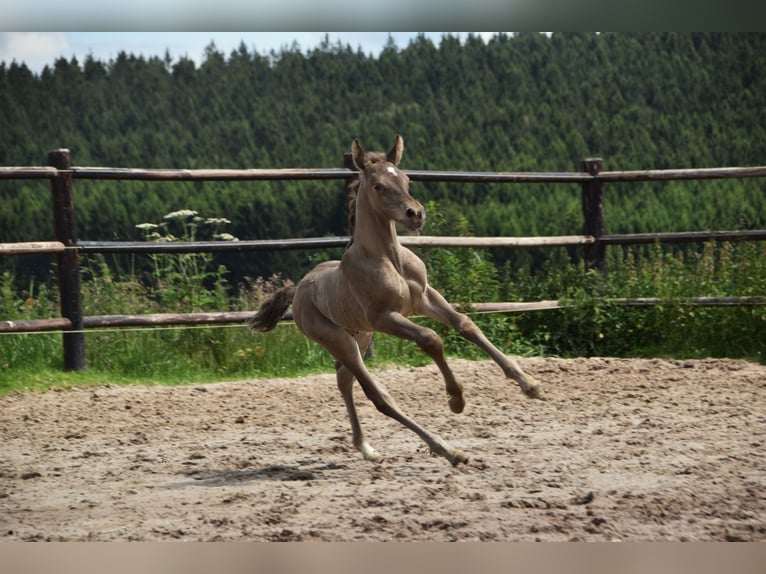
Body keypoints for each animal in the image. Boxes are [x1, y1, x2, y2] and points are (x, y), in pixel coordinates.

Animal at [252, 136, 540, 468]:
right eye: (378, 186)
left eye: (406, 179)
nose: (415, 214)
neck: (389, 259)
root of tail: (298, 290)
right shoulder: (385, 317)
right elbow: (430, 338)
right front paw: (456, 399)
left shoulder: (425, 298)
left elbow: (465, 324)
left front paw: (529, 384)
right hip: (337, 338)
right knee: (377, 395)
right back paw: (448, 450)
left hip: (360, 336)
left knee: (344, 381)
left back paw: (366, 448)